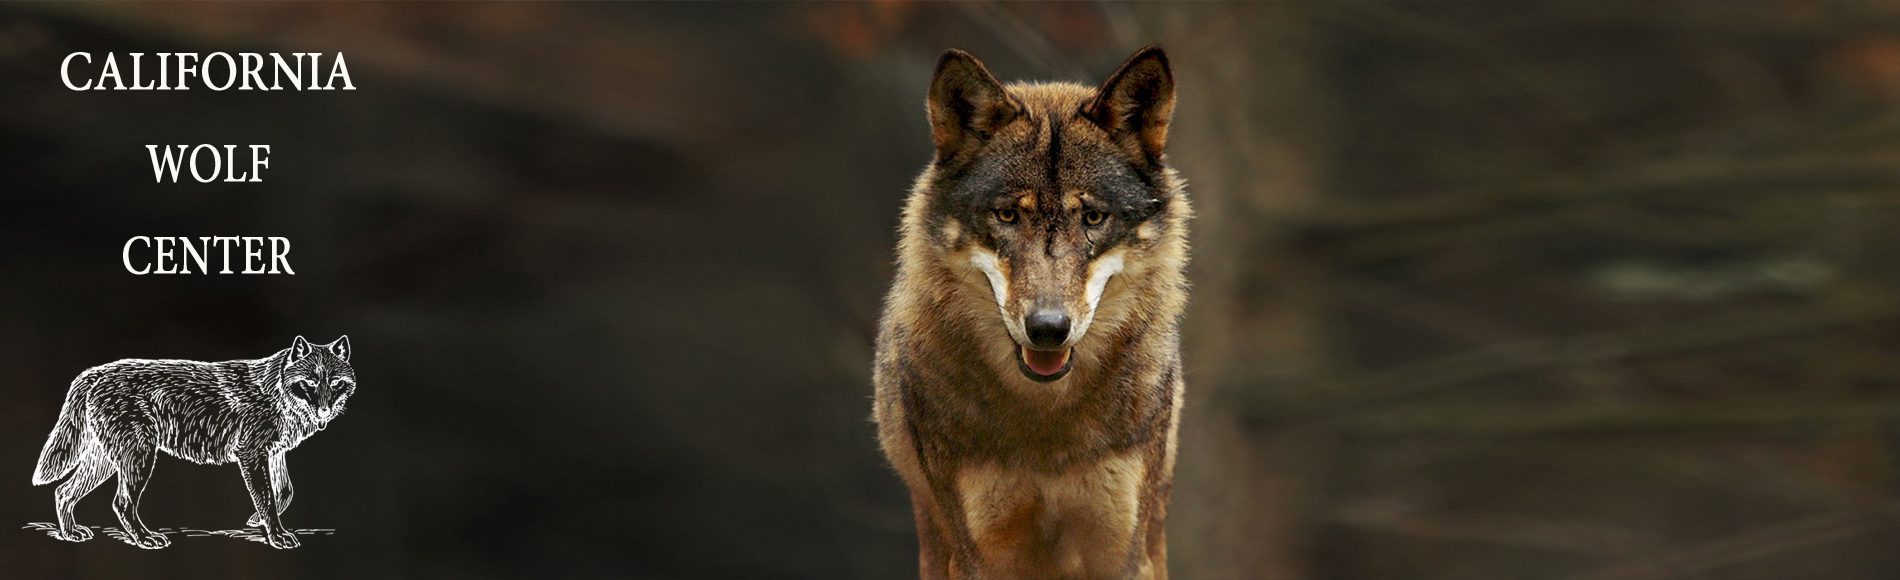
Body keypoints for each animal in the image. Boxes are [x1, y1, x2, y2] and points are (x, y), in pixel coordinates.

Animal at [31, 336, 355, 549]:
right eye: (309, 383)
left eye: (335, 383)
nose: (324, 411)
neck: (276, 392)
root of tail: (97, 371)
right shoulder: (251, 455)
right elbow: (266, 498)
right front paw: (276, 536)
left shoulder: (274, 455)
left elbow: (284, 492)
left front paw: (256, 522)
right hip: (138, 459)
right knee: (121, 502)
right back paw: (145, 538)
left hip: (105, 462)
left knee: (63, 491)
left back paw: (71, 534)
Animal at [874, 45, 1190, 579]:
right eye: (1007, 215)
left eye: (1093, 217)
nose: (1047, 329)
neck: (1048, 428)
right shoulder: (979, 554)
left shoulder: (1121, 552)